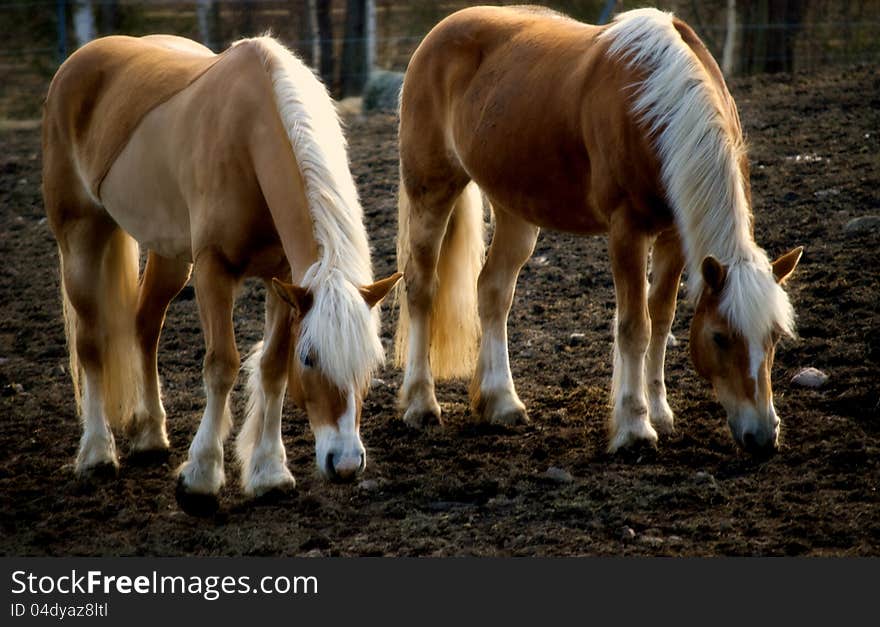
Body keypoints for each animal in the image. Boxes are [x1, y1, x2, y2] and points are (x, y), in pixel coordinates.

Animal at [41, 33, 398, 516]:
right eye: (310, 358)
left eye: (371, 362)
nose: (343, 464)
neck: (248, 137)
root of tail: (80, 59)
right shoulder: (213, 269)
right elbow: (221, 365)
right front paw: (201, 478)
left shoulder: (282, 279)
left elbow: (272, 368)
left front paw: (269, 472)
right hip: (81, 237)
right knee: (92, 341)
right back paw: (97, 452)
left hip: (170, 255)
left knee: (145, 326)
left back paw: (150, 435)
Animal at [398, 4, 804, 456]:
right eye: (719, 337)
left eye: (774, 336)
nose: (763, 435)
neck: (654, 107)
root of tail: (440, 32)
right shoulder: (626, 230)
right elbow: (634, 327)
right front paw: (634, 426)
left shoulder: (673, 235)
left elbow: (661, 318)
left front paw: (659, 412)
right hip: (431, 191)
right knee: (421, 288)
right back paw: (421, 404)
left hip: (515, 210)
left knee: (493, 291)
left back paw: (501, 401)